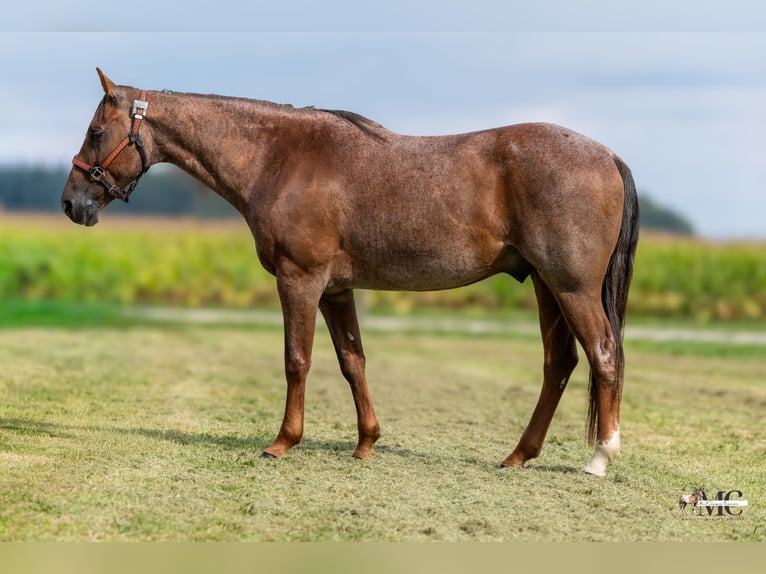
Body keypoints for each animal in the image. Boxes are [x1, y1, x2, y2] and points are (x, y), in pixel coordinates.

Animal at [61, 69, 639, 477]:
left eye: (96, 131)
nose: (71, 204)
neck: (279, 157)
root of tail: (608, 155)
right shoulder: (336, 290)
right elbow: (352, 361)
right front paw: (366, 443)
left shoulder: (300, 280)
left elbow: (297, 361)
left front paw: (282, 443)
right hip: (545, 285)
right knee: (559, 363)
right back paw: (519, 454)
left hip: (571, 287)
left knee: (603, 355)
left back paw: (599, 458)